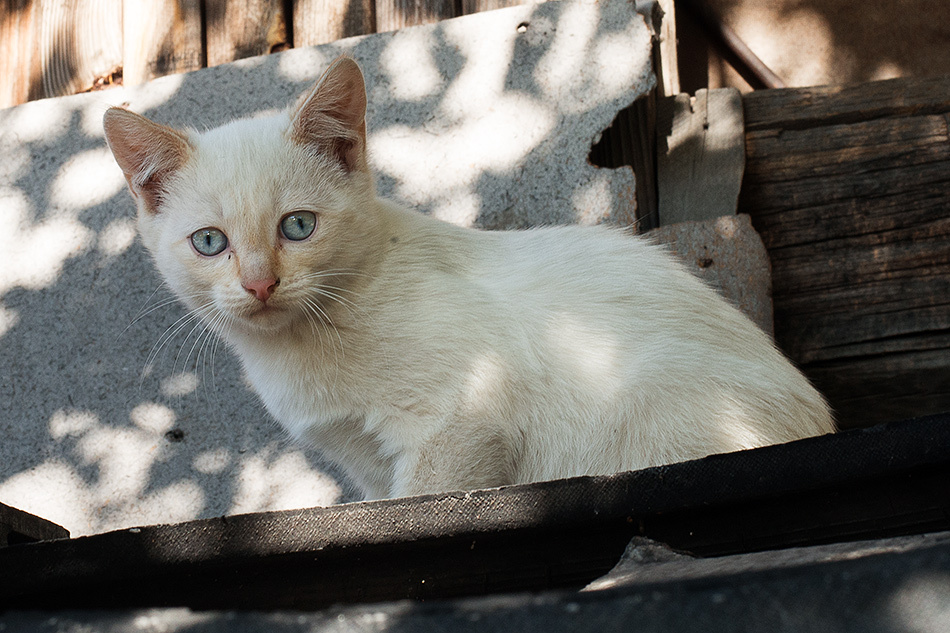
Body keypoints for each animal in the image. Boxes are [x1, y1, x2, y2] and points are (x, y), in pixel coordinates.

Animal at [102, 55, 832, 498]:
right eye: (209, 243)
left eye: (298, 227)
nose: (258, 285)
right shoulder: (364, 462)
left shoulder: (462, 420)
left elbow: (423, 500)